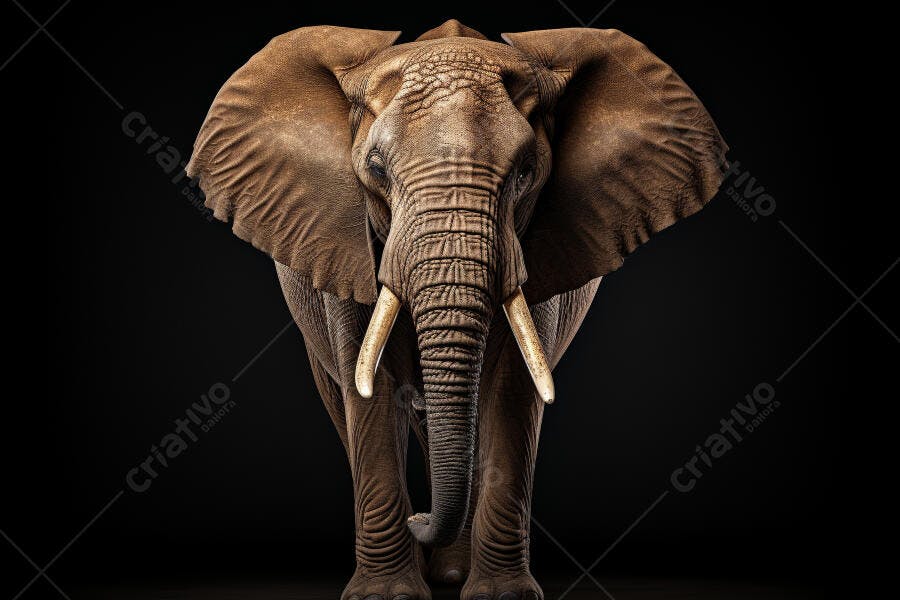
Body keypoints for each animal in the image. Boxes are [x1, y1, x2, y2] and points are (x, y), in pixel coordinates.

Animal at [187, 19, 727, 600]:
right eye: (375, 169)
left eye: (527, 171)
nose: (419, 520)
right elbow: (370, 392)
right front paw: (387, 595)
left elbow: (513, 392)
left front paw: (502, 594)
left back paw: (450, 571)